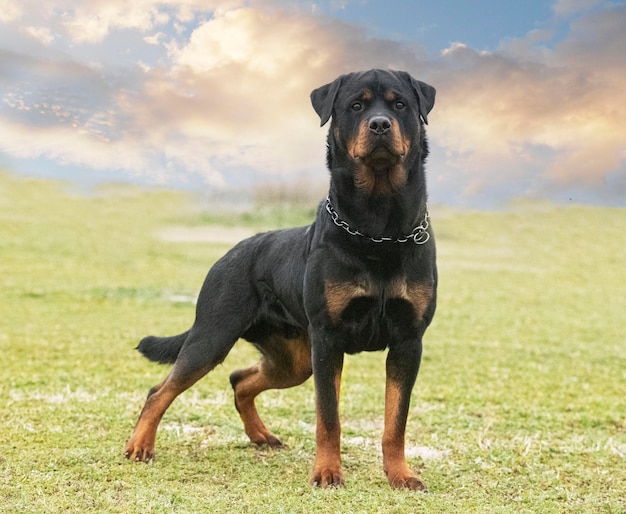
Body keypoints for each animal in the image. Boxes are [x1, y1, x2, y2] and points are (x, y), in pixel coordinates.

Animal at [124, 68, 436, 488]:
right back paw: (140, 446)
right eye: (356, 105)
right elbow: (329, 417)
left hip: (293, 360)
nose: (380, 124)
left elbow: (395, 421)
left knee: (240, 379)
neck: (379, 229)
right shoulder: (328, 339)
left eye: (399, 104)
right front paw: (327, 472)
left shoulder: (407, 342)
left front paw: (400, 474)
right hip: (213, 337)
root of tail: (232, 253)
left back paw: (261, 436)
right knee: (160, 390)